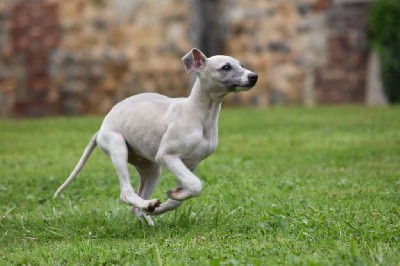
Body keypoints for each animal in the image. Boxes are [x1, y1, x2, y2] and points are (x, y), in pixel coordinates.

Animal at [54, 47, 260, 224]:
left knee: (136, 206)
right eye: (226, 67)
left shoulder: (191, 163)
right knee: (126, 192)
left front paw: (170, 201)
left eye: (241, 64)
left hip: (151, 168)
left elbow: (184, 193)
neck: (200, 114)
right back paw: (148, 205)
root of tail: (101, 128)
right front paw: (169, 199)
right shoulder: (167, 156)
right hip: (118, 145)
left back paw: (148, 213)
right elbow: (195, 185)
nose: (254, 76)